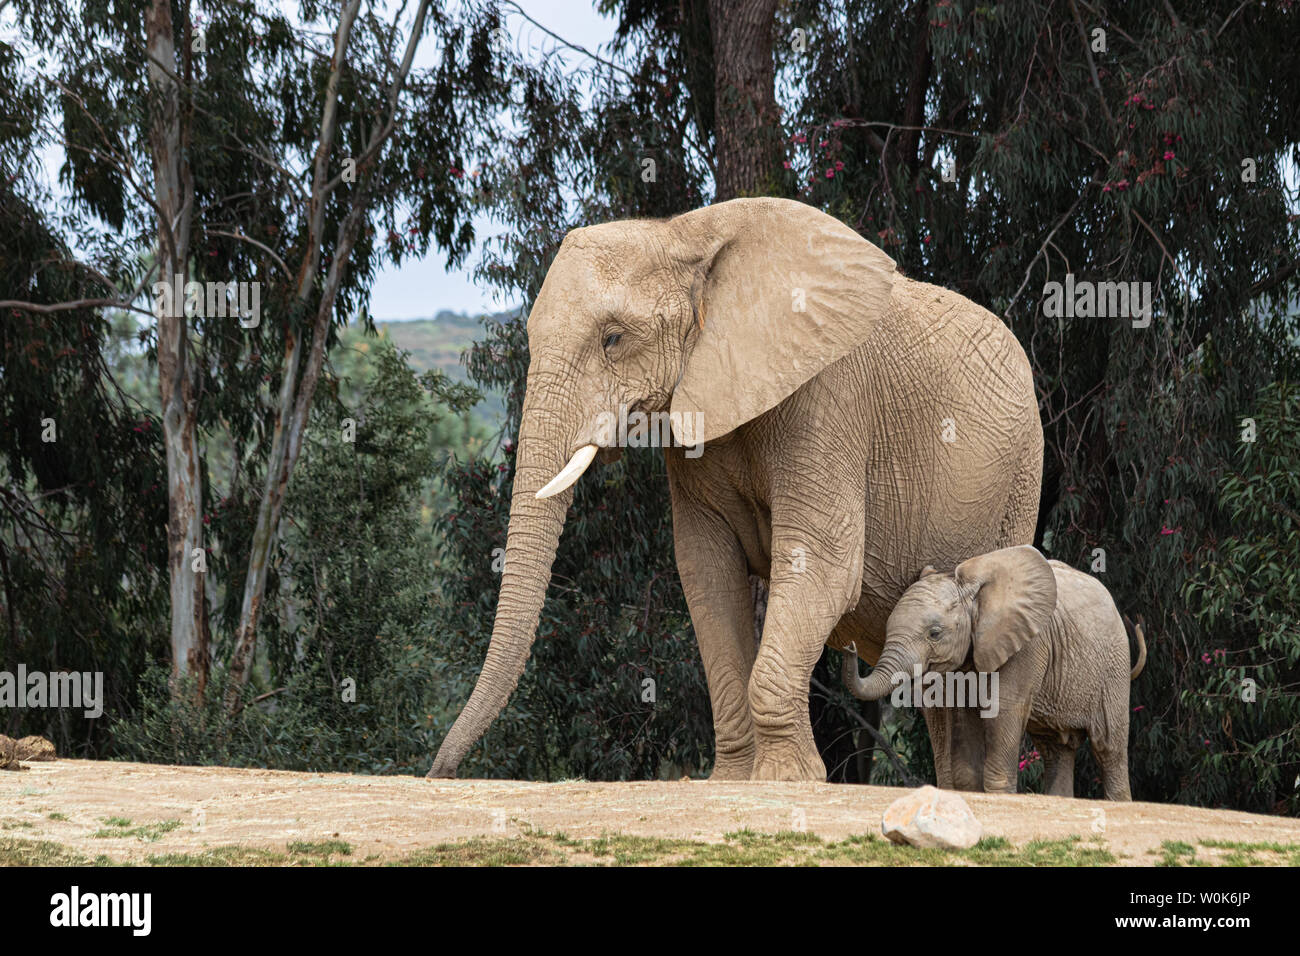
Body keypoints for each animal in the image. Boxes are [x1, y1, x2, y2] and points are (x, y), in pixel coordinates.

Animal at [428, 196, 1044, 782]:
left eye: (613, 339)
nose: (440, 771)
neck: (686, 234)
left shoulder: (829, 397)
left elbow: (822, 565)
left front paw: (788, 779)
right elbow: (707, 572)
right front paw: (733, 777)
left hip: (1022, 477)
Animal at [842, 545, 1147, 799]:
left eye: (935, 633)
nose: (849, 647)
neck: (973, 592)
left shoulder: (1027, 645)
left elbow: (1004, 710)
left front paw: (1000, 795)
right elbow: (964, 717)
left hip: (1113, 666)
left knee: (1108, 746)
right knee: (1056, 750)